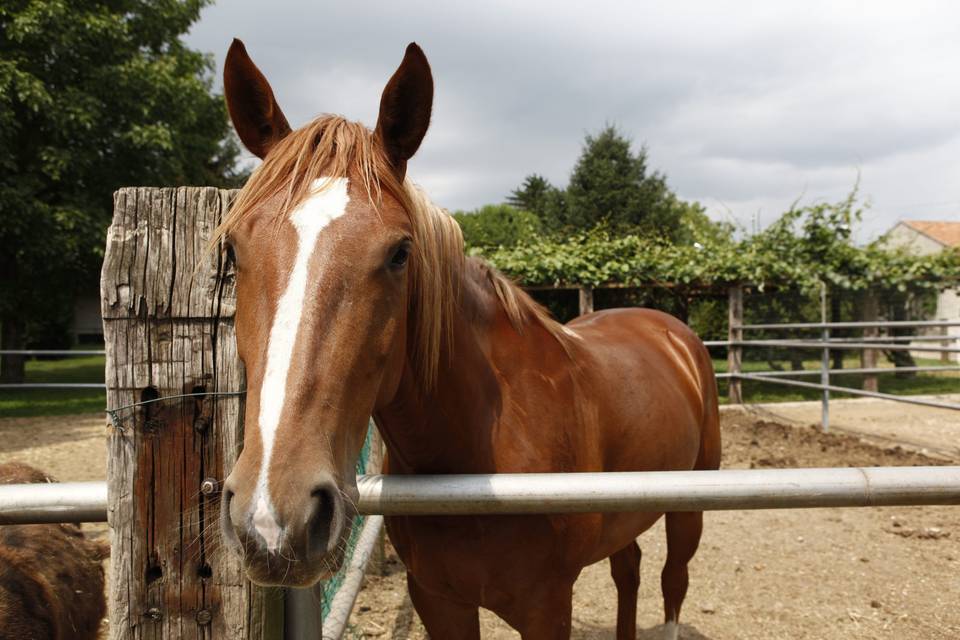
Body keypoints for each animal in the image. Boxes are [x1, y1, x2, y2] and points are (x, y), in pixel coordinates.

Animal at [219, 41, 720, 640]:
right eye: (232, 250)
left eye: (400, 253)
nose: (275, 518)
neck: (482, 442)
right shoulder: (438, 600)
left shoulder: (547, 606)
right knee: (630, 569)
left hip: (688, 507)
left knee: (673, 581)